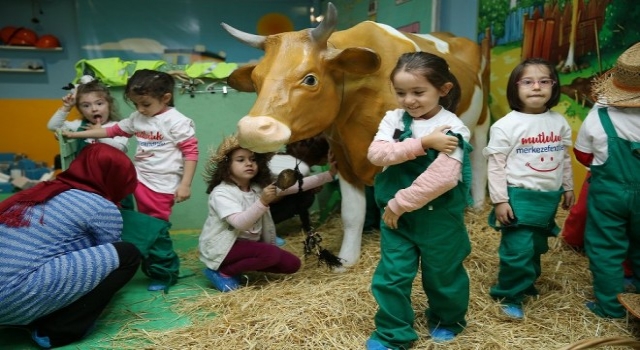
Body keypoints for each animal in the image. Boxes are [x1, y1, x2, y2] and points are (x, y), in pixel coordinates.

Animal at [221, 2, 490, 268]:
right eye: (256, 81)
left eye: (310, 79)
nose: (252, 129)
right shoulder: (342, 154)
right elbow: (352, 212)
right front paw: (347, 259)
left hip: (481, 122)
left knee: (479, 162)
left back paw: (477, 206)